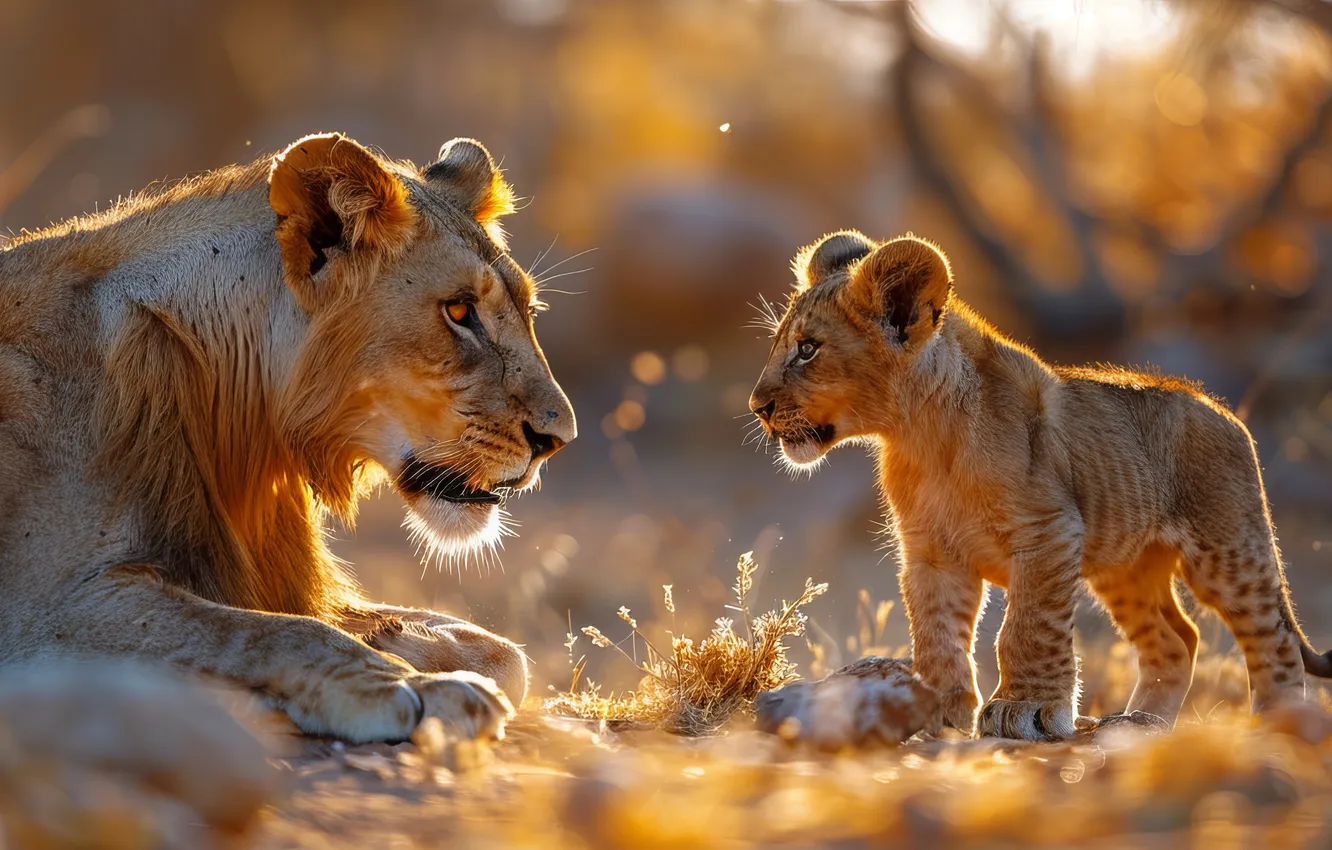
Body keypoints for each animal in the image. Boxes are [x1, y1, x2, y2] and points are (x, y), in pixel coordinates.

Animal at [0, 132, 576, 744]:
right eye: (459, 310)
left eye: (529, 311)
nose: (558, 438)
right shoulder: (41, 610)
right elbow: (268, 632)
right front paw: (409, 686)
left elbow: (500, 653)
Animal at [748, 230, 1332, 741]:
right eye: (780, 345)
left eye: (807, 349)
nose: (757, 406)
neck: (921, 435)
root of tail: (1224, 410)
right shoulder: (931, 552)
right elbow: (937, 632)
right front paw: (935, 705)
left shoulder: (1048, 531)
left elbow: (1025, 629)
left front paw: (1022, 709)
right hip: (1126, 568)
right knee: (1176, 639)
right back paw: (1138, 723)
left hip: (1227, 550)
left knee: (1273, 635)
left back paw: (1280, 720)